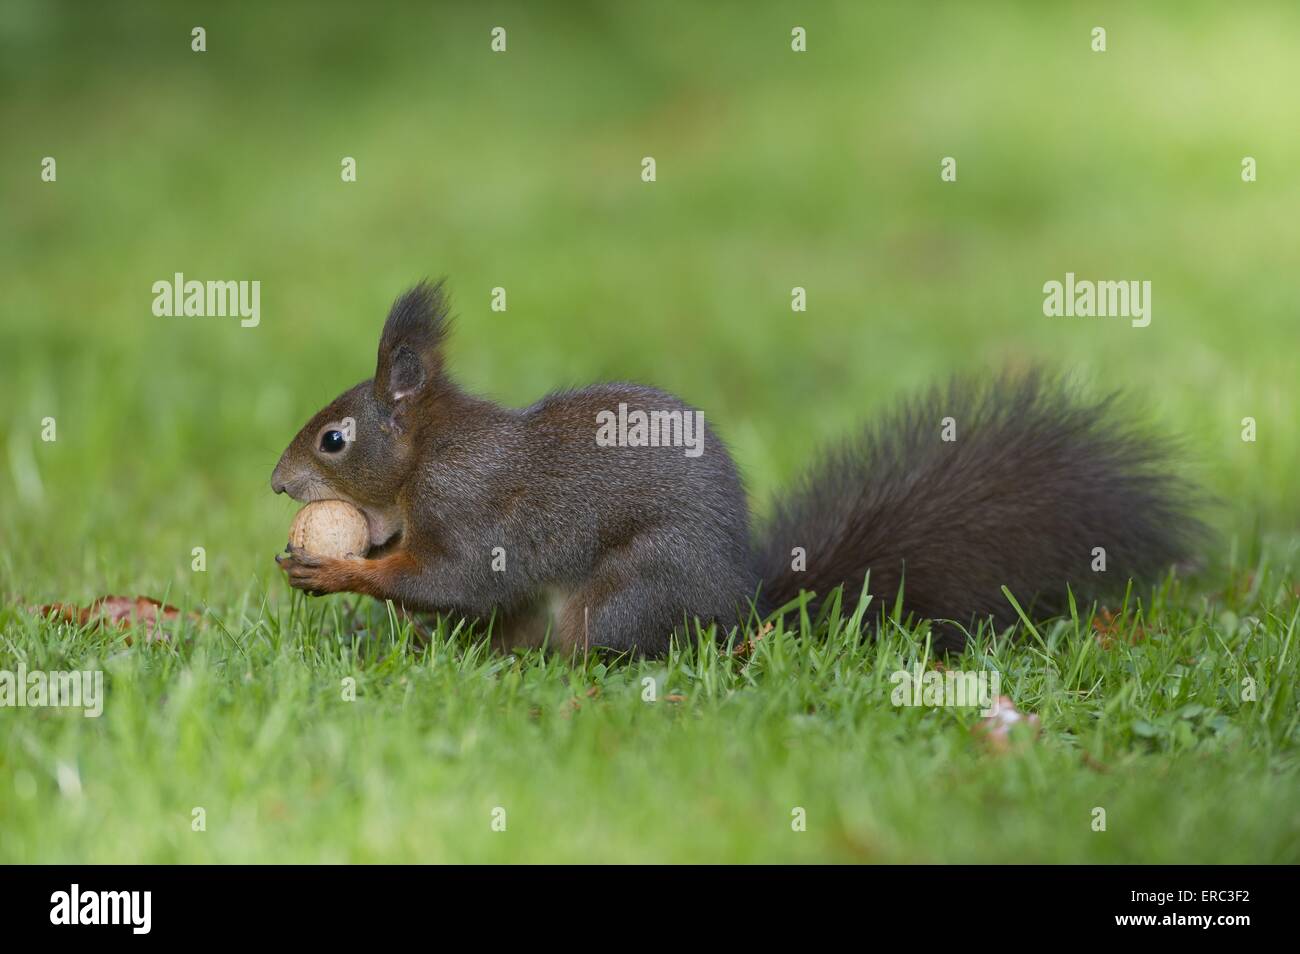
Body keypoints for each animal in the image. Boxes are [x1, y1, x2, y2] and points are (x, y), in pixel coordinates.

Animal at [274, 283, 1206, 655]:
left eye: (333, 439)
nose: (278, 485)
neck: (424, 454)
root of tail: (743, 611)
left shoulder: (468, 506)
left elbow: (456, 576)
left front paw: (337, 569)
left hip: (632, 593)